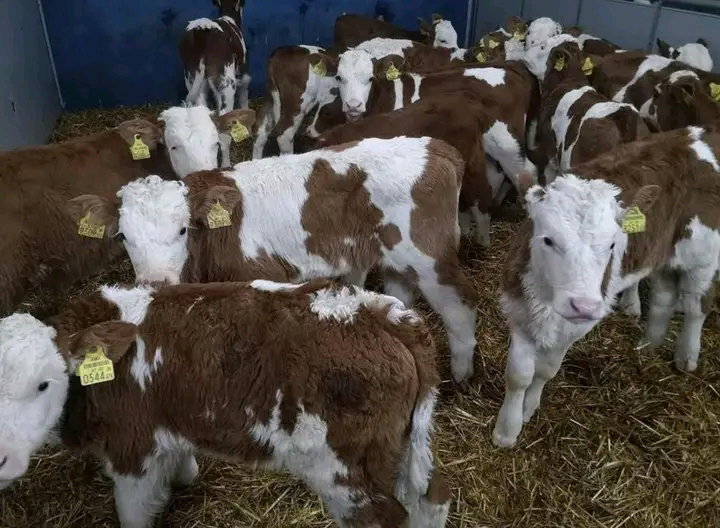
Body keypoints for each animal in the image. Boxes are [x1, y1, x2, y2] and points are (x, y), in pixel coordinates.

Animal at [0, 280, 451, 527]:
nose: (1, 459)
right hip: (400, 447)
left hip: (345, 471)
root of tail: (378, 313)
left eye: (44, 384)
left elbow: (133, 515)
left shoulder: (134, 449)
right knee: (431, 499)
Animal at [70, 136, 480, 383]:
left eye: (183, 229)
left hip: (431, 257)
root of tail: (437, 148)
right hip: (394, 257)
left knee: (460, 308)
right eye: (124, 236)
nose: (155, 282)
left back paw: (461, 376)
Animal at [492, 125, 720, 448]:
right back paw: (649, 344)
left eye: (613, 244)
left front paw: (528, 409)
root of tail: (697, 134)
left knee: (696, 304)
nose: (583, 305)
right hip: (662, 253)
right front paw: (506, 431)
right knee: (663, 296)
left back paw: (686, 356)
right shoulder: (519, 309)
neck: (548, 300)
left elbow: (546, 370)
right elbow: (518, 374)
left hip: (703, 255)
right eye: (548, 239)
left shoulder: (576, 326)